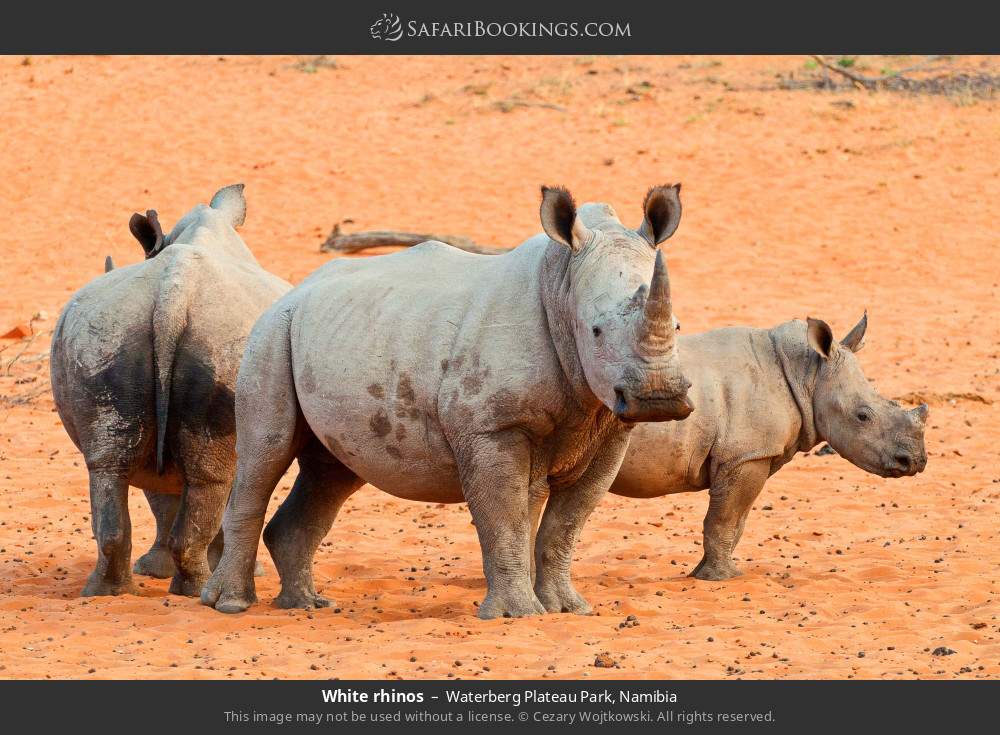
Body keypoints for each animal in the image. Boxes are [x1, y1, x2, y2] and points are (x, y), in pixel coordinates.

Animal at [50, 184, 290, 597]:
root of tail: (171, 296)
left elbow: (160, 495)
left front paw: (154, 570)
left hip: (104, 335)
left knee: (108, 466)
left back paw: (107, 592)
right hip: (225, 343)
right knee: (210, 480)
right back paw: (195, 589)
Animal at [202, 184, 693, 619]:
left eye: (678, 325)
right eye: (595, 331)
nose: (658, 397)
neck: (562, 283)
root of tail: (294, 290)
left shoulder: (608, 425)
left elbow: (566, 523)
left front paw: (567, 609)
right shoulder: (491, 427)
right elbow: (504, 514)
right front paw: (517, 615)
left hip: (335, 333)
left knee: (333, 471)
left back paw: (306, 604)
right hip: (270, 331)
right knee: (266, 453)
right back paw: (230, 605)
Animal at [607, 314, 929, 580]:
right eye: (862, 416)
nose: (915, 461)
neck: (806, 375)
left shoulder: (752, 455)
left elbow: (737, 522)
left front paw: (701, 574)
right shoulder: (745, 455)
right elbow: (724, 520)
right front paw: (722, 578)